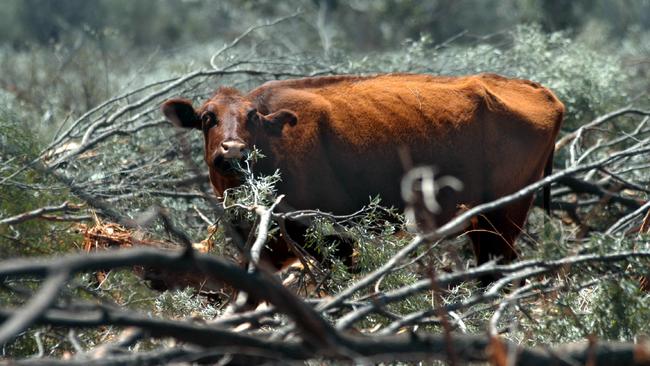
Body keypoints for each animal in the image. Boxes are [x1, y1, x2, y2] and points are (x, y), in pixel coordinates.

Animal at [162, 74, 560, 274]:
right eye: (207, 117)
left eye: (252, 116)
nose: (233, 150)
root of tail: (542, 92)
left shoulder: (334, 238)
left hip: (502, 219)